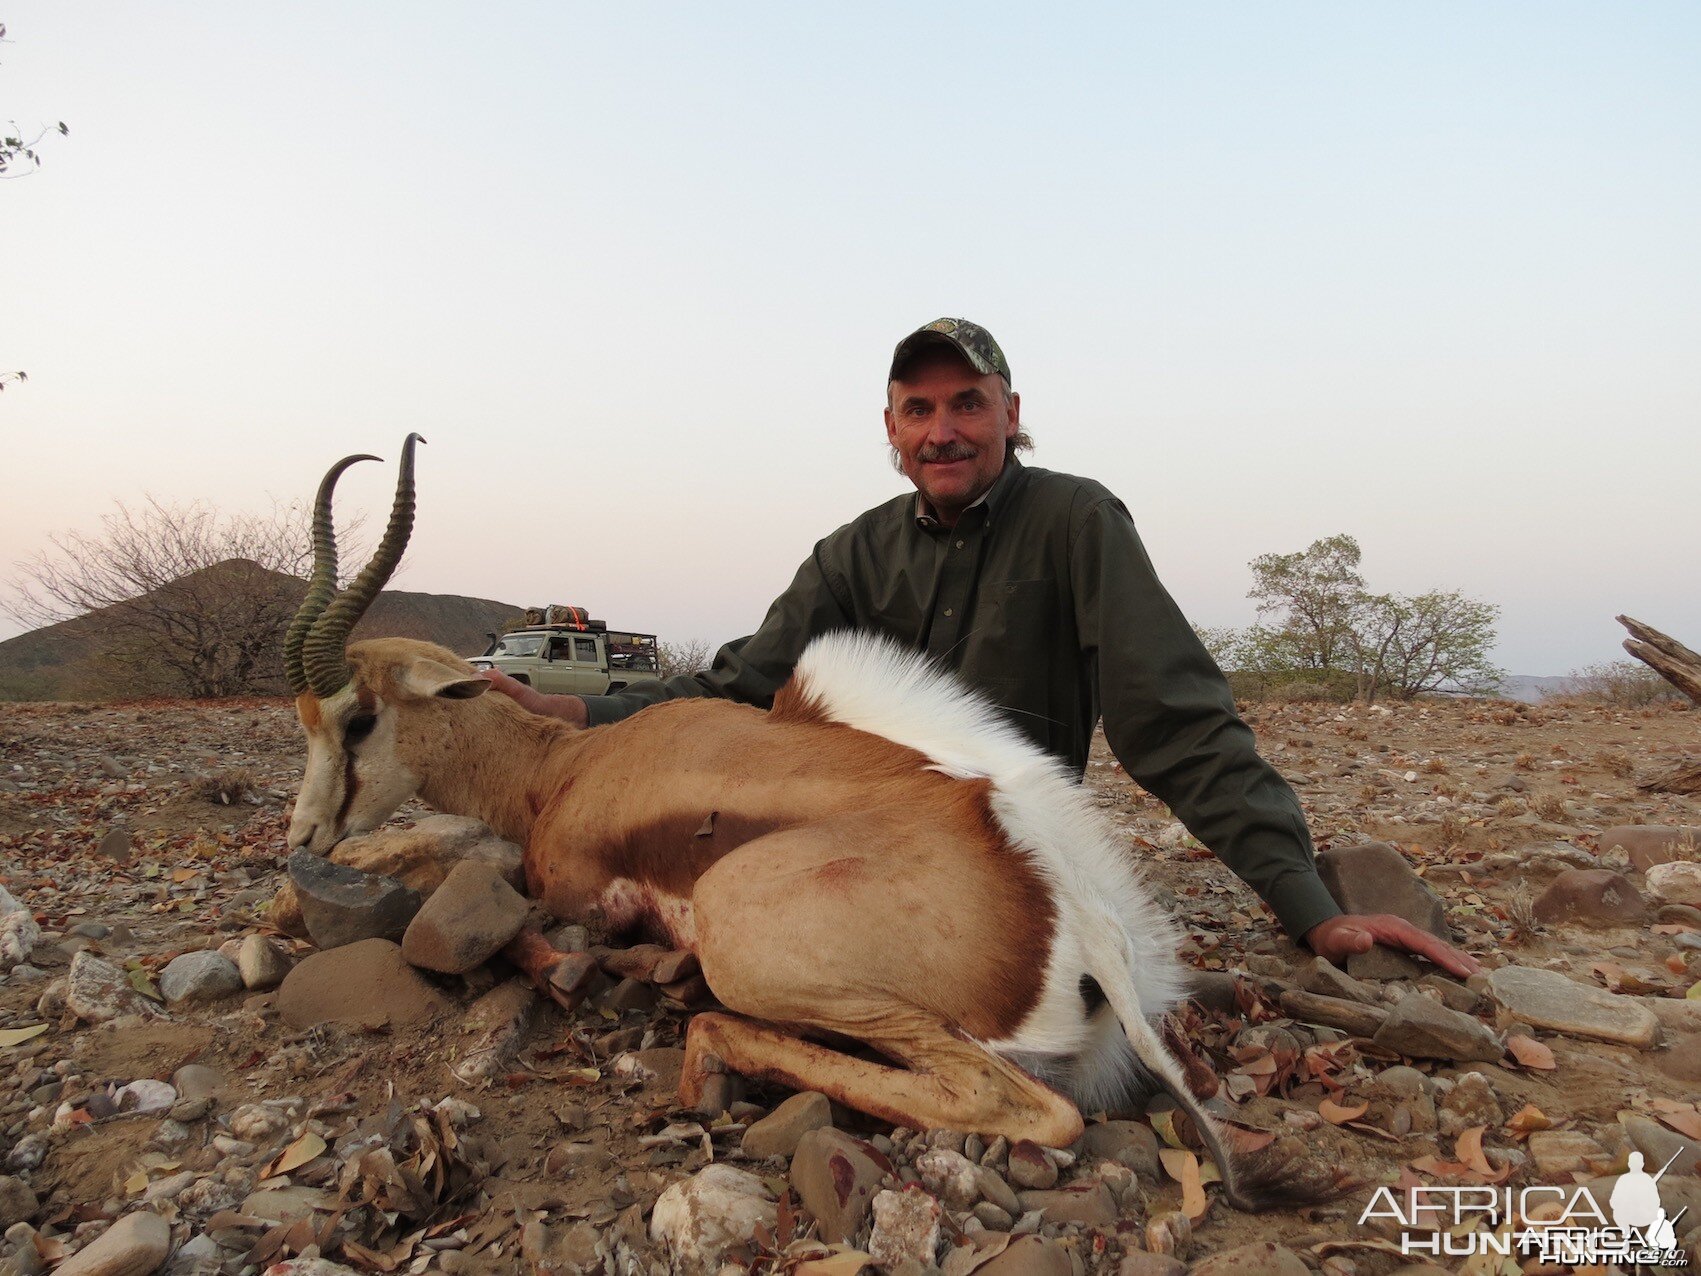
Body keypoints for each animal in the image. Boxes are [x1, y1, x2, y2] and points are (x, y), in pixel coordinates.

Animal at [285, 438, 1306, 1211]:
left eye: (357, 718)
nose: (301, 840)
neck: (558, 771)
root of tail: (1084, 920)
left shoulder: (568, 891)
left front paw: (588, 967)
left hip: (749, 939)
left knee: (1022, 1106)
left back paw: (700, 1044)